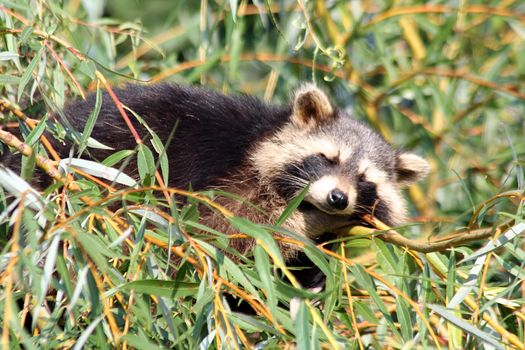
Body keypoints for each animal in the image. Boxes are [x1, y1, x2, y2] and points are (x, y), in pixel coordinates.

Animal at [2, 82, 428, 288]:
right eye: (329, 158)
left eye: (365, 180)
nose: (338, 199)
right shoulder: (224, 173)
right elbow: (225, 229)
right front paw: (311, 225)